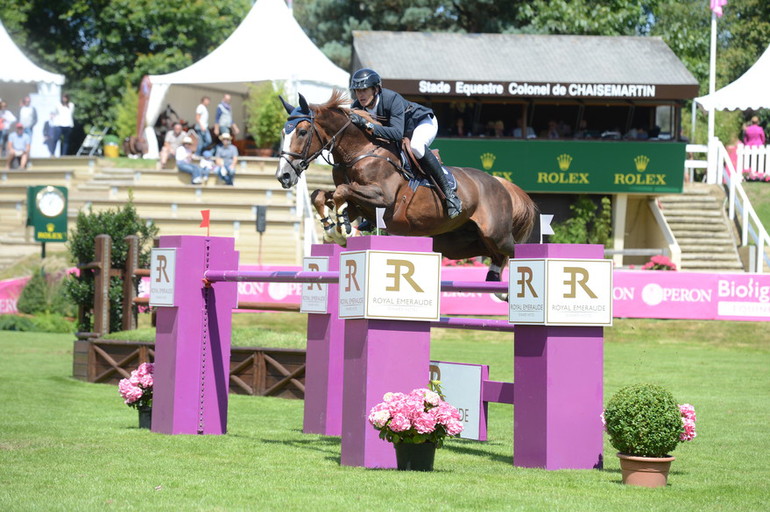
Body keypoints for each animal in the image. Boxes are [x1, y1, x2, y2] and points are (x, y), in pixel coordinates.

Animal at [274, 88, 536, 280]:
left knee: (513, 250)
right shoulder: (361, 204)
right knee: (495, 256)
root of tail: (500, 183)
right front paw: (333, 227)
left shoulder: (382, 198)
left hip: (496, 234)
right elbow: (321, 194)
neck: (359, 151)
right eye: (284, 132)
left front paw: (342, 227)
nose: (283, 176)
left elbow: (341, 191)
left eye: (302, 132)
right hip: (463, 242)